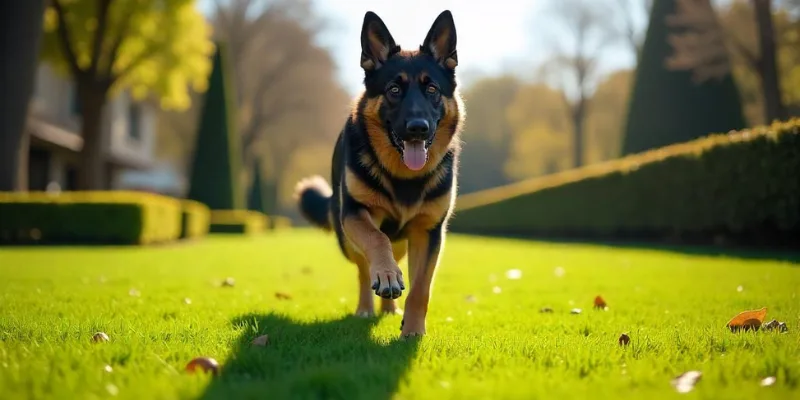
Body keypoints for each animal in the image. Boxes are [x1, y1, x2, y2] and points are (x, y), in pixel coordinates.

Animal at [296, 9, 466, 336]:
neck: (403, 177)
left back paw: (389, 308)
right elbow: (376, 241)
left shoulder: (428, 234)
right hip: (346, 238)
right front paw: (386, 275)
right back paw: (366, 307)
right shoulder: (356, 214)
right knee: (363, 269)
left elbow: (421, 288)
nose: (417, 128)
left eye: (432, 90)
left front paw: (412, 330)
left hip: (403, 243)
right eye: (394, 90)